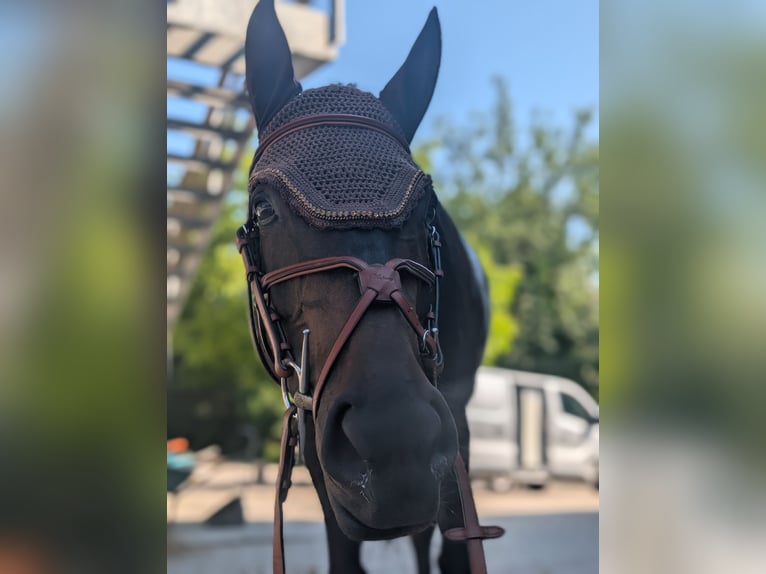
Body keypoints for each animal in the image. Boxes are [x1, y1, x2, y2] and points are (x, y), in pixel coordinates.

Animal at [236, 2, 503, 572]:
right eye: (263, 210)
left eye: (428, 208)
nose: (396, 442)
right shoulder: (317, 440)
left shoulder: (456, 419)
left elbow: (456, 545)